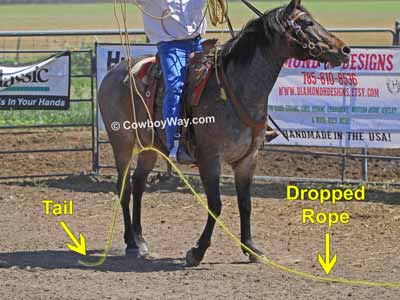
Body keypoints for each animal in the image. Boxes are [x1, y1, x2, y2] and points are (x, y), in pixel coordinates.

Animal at [99, 0, 350, 268]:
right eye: (306, 23)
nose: (344, 50)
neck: (235, 89)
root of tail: (114, 72)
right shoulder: (210, 159)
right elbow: (215, 205)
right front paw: (196, 252)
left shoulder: (248, 159)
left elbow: (245, 203)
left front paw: (251, 248)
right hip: (122, 142)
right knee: (124, 186)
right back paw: (131, 243)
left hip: (151, 147)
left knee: (138, 183)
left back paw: (141, 239)